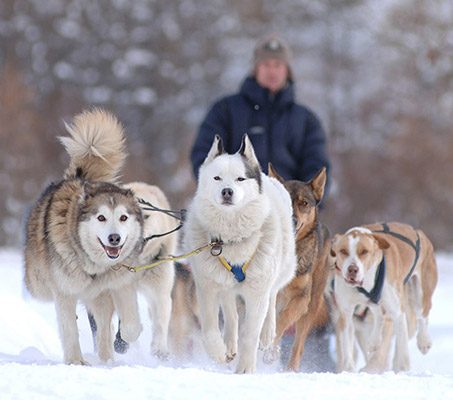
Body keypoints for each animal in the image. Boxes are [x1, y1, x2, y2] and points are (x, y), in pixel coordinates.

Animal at [23, 109, 143, 366]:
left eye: (123, 217)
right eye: (101, 218)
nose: (115, 238)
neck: (93, 266)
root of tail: (79, 177)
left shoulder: (121, 283)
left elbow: (129, 326)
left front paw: (119, 344)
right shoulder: (64, 291)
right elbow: (70, 329)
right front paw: (75, 361)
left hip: (99, 297)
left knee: (104, 324)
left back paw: (107, 358)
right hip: (38, 283)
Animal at [183, 135, 296, 376]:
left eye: (240, 179)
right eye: (217, 177)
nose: (227, 191)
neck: (231, 238)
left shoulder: (257, 292)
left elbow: (251, 333)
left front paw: (245, 367)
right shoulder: (207, 286)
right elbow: (210, 326)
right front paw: (218, 350)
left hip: (279, 270)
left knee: (272, 298)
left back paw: (267, 333)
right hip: (225, 284)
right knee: (231, 314)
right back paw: (229, 345)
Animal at [264, 165, 332, 372]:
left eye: (303, 203)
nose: (291, 220)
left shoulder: (301, 298)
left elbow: (282, 321)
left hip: (311, 306)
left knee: (299, 344)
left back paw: (289, 368)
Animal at [328, 222, 438, 372]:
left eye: (364, 251)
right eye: (343, 251)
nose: (352, 269)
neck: (366, 283)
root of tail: (418, 231)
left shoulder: (397, 311)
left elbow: (402, 347)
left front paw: (403, 369)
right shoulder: (346, 313)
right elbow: (347, 348)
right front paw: (347, 370)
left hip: (421, 293)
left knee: (423, 315)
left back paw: (424, 341)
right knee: (378, 315)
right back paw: (374, 341)